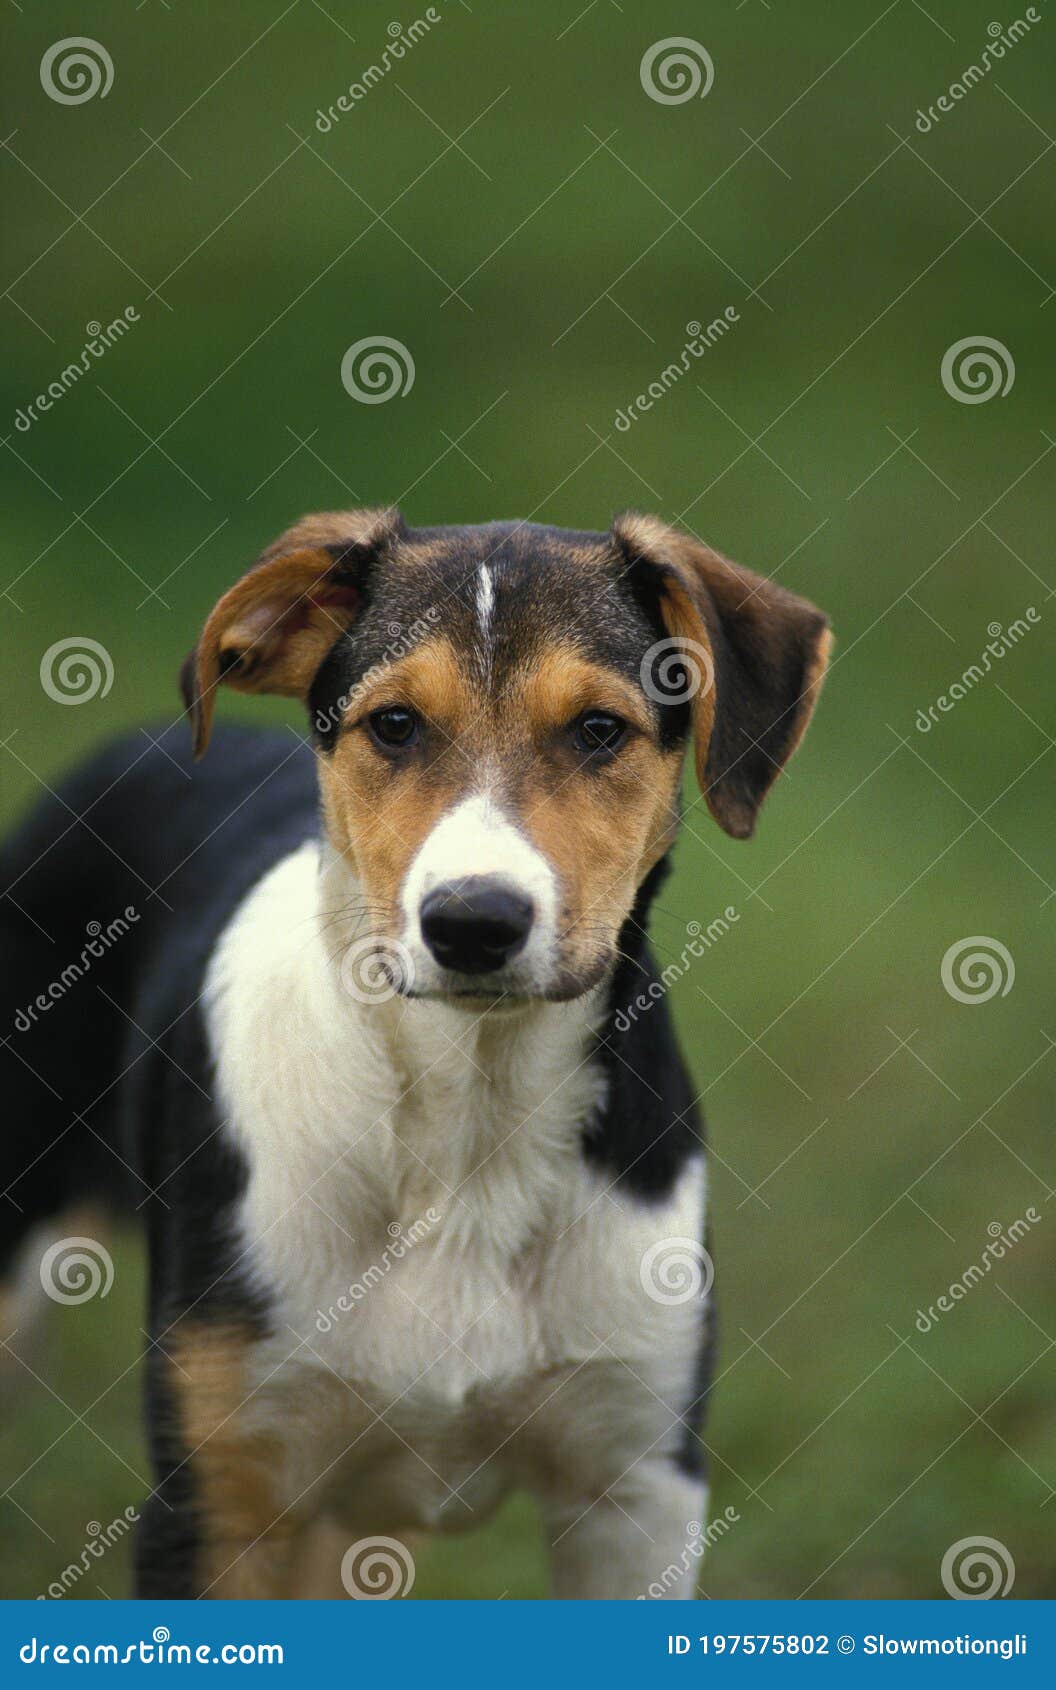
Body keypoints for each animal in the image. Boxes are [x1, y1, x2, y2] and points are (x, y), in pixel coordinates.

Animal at [0, 510, 827, 1595]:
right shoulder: (218, 1500)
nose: (473, 921)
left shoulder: (636, 1492)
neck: (468, 1118)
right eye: (393, 725)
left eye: (599, 730)